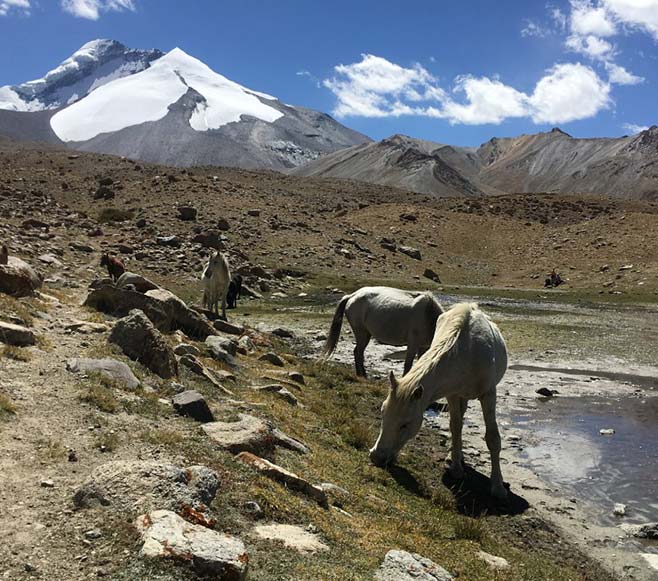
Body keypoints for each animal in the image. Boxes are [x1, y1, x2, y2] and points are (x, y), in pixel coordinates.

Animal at [368, 302, 508, 496]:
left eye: (405, 424)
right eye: (382, 413)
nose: (376, 456)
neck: (467, 352)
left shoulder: (488, 395)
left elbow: (493, 438)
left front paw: (498, 487)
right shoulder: (452, 394)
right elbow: (455, 427)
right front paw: (456, 468)